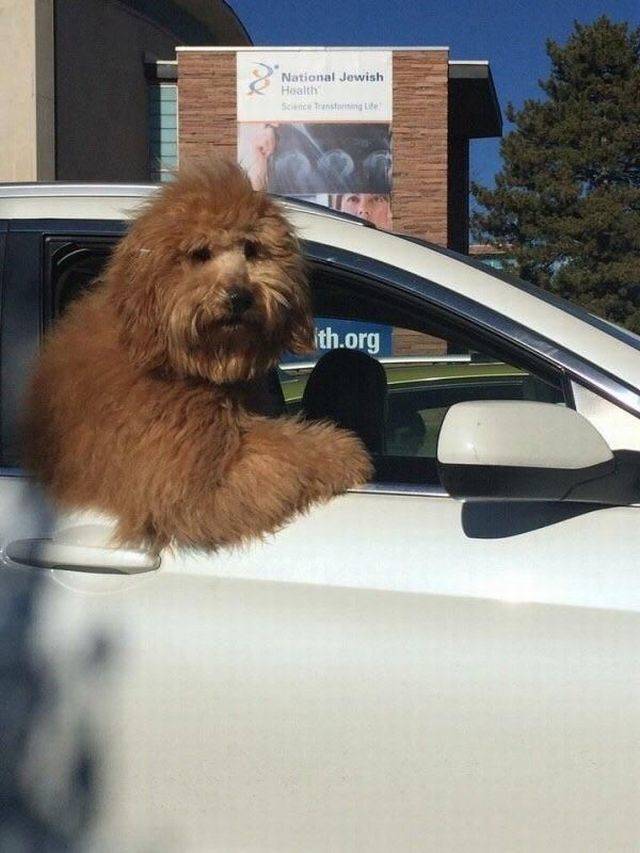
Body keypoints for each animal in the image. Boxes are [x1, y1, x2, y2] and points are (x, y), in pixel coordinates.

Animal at [25, 160, 372, 552]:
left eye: (252, 250)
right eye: (200, 254)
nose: (239, 296)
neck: (176, 362)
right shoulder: (186, 486)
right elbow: (282, 452)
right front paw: (342, 451)